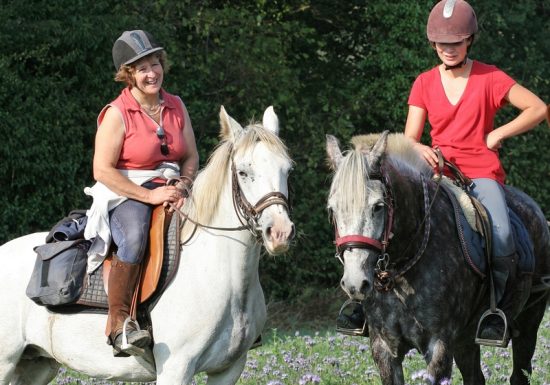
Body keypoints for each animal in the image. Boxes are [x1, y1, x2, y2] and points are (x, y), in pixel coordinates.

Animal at [0, 106, 296, 384]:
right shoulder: (176, 369)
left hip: (37, 364)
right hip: (6, 363)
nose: (280, 232)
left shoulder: (228, 370)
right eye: (244, 172)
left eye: (287, 169)